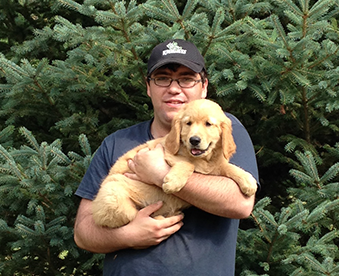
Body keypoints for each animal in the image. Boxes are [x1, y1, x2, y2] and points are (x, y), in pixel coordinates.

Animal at [93, 99, 258, 229]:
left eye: (208, 124)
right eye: (188, 123)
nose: (194, 140)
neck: (204, 160)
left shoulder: (215, 165)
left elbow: (229, 166)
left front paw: (248, 181)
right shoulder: (167, 152)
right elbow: (188, 164)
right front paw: (173, 183)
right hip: (114, 196)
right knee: (132, 218)